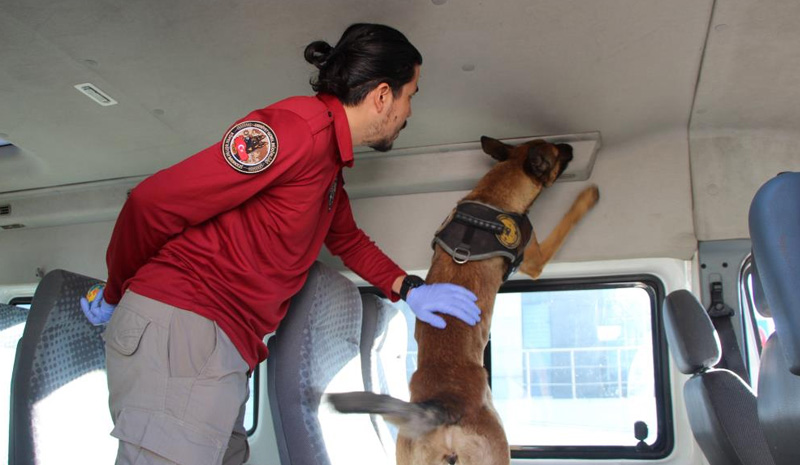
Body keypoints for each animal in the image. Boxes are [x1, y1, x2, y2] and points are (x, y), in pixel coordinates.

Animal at [328, 137, 596, 464]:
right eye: (557, 152)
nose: (570, 146)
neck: (495, 194)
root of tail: (444, 404)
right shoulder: (535, 257)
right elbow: (566, 222)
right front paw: (587, 198)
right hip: (497, 451)